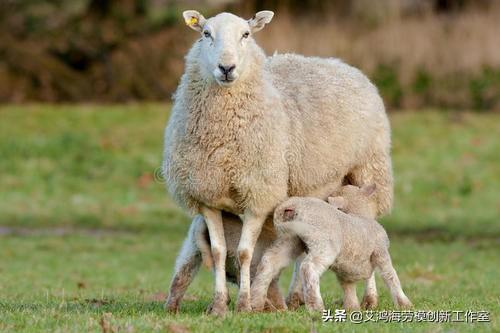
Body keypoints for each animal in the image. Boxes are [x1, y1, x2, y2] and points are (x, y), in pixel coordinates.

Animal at [162, 8, 392, 314]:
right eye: (206, 34)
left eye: (246, 34)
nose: (226, 68)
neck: (223, 140)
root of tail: (342, 64)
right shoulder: (207, 195)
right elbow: (219, 251)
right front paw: (220, 305)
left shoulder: (259, 195)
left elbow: (245, 253)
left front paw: (244, 304)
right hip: (315, 193)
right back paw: (295, 298)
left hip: (367, 170)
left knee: (366, 223)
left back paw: (369, 298)